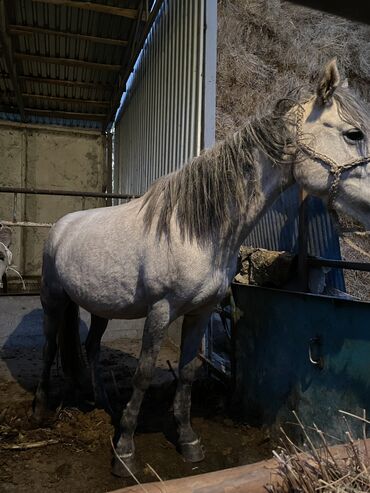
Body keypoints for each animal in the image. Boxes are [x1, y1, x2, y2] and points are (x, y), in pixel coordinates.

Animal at [33, 59, 368, 474]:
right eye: (354, 134)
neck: (197, 230)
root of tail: (62, 226)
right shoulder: (161, 310)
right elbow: (144, 373)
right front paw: (124, 450)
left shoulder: (202, 311)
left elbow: (189, 371)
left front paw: (188, 440)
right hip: (53, 299)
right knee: (49, 346)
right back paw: (41, 408)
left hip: (99, 308)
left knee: (91, 348)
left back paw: (102, 402)